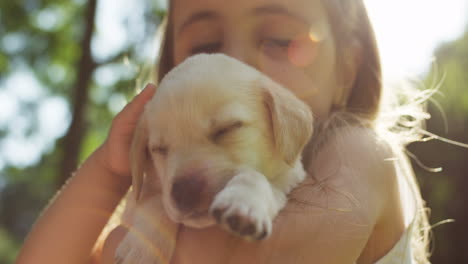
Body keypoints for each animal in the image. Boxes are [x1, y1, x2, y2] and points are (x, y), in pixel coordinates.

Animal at [114, 54, 312, 264]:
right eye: (158, 149)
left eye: (228, 128)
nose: (186, 192)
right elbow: (156, 202)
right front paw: (141, 247)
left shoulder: (286, 182)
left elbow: (256, 178)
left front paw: (243, 201)